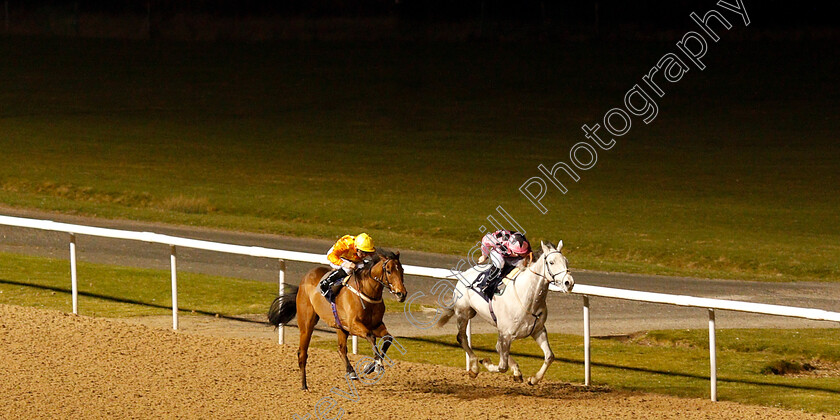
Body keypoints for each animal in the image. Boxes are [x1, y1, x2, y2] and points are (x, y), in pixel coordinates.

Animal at [266, 249, 404, 390]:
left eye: (402, 270)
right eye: (389, 271)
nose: (402, 294)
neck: (366, 293)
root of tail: (305, 278)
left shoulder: (376, 325)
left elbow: (388, 338)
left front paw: (371, 366)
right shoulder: (354, 325)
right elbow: (371, 337)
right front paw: (376, 365)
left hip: (340, 327)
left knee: (341, 349)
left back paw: (351, 372)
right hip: (307, 323)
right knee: (302, 352)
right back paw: (304, 385)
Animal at [436, 241, 576, 386]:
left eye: (566, 261)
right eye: (551, 262)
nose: (569, 283)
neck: (528, 299)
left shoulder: (538, 330)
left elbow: (549, 356)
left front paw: (534, 379)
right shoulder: (505, 334)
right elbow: (502, 366)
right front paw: (486, 362)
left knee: (498, 347)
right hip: (464, 313)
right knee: (462, 337)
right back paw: (474, 368)